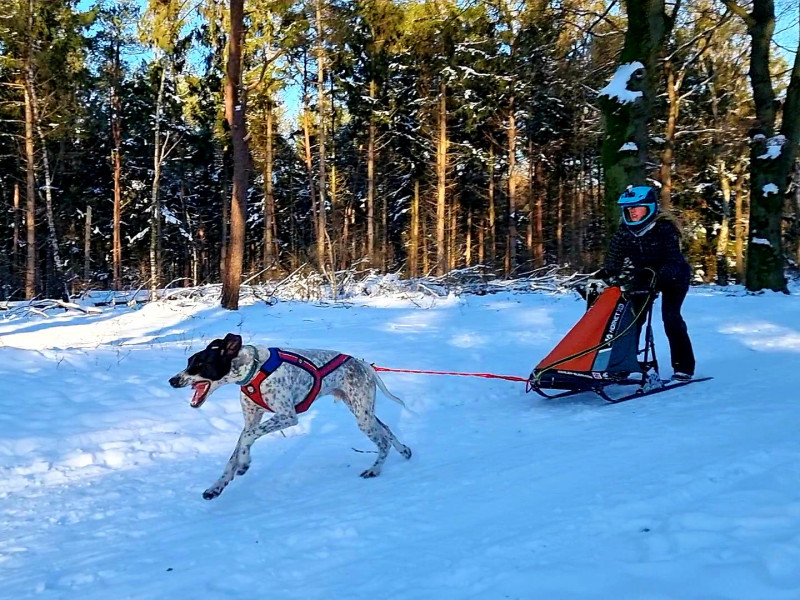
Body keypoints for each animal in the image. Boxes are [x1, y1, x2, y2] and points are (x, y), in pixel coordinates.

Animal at [166, 336, 410, 500]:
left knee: (383, 441)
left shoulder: (286, 416)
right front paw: (217, 486)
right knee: (387, 429)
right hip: (363, 411)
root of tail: (364, 364)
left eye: (200, 364)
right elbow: (236, 450)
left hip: (362, 417)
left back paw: (375, 469)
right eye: (189, 362)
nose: (172, 380)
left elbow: (247, 438)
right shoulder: (252, 419)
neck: (254, 369)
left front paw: (244, 463)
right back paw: (404, 450)